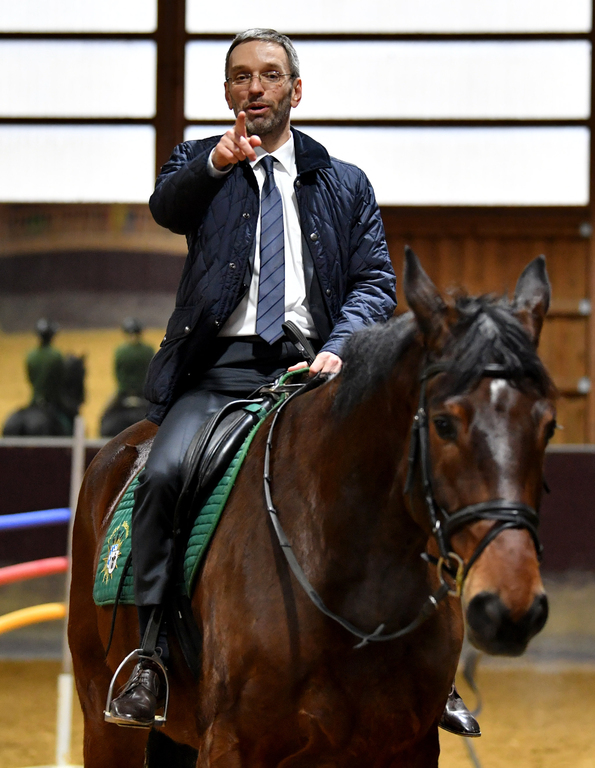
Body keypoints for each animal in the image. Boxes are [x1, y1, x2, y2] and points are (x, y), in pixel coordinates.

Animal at [71, 249, 560, 764]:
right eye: (444, 424)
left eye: (548, 425)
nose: (511, 609)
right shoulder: (230, 743)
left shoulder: (409, 747)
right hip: (106, 725)